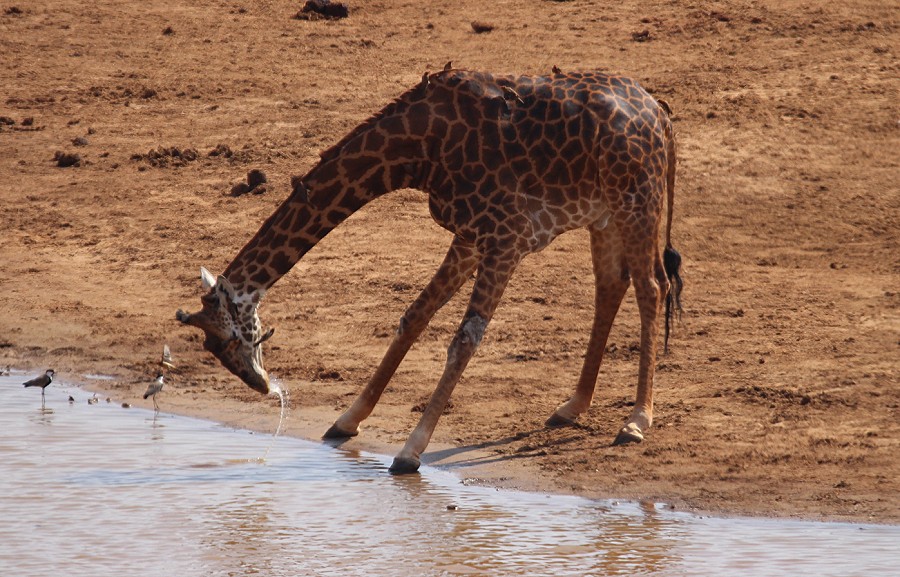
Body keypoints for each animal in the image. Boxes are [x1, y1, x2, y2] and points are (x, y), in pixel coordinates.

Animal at [174, 66, 684, 472]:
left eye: (226, 341)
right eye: (212, 347)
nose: (261, 386)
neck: (419, 151)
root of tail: (660, 113)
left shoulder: (506, 239)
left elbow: (464, 341)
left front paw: (409, 452)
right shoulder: (471, 237)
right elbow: (414, 316)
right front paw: (347, 419)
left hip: (638, 203)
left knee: (651, 287)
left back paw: (637, 420)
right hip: (603, 213)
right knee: (611, 285)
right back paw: (572, 406)